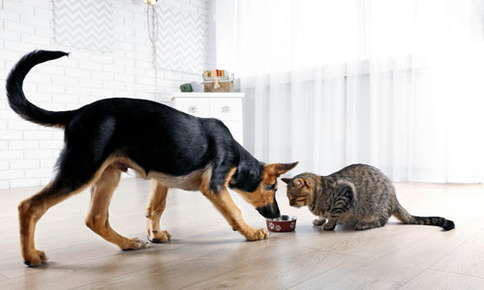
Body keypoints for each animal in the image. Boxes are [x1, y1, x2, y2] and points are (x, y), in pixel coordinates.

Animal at [5, 50, 296, 268]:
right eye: (272, 188)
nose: (277, 214)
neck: (237, 157)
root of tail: (76, 112)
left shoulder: (161, 179)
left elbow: (155, 208)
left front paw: (155, 235)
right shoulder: (213, 185)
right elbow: (234, 211)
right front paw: (251, 233)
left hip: (108, 174)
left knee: (95, 218)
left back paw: (128, 243)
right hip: (82, 169)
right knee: (30, 206)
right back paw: (31, 257)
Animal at [282, 164, 456, 230]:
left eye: (293, 196)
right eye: (287, 197)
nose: (289, 204)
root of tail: (394, 198)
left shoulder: (345, 193)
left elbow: (333, 213)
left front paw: (329, 224)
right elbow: (324, 214)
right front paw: (320, 220)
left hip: (376, 209)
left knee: (381, 222)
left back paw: (364, 224)